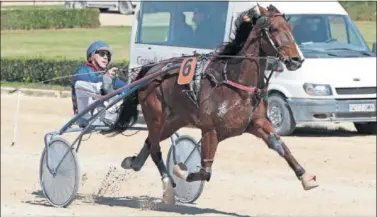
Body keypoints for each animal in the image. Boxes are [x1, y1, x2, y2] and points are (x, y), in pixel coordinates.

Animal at [114, 3, 318, 205]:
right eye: (274, 29)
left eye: (290, 28)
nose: (296, 60)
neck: (236, 82)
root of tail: (152, 68)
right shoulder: (210, 129)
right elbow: (205, 172)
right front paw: (182, 170)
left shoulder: (257, 123)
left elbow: (280, 145)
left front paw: (305, 177)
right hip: (155, 115)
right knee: (155, 148)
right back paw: (168, 187)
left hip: (175, 120)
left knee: (150, 142)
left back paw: (134, 162)